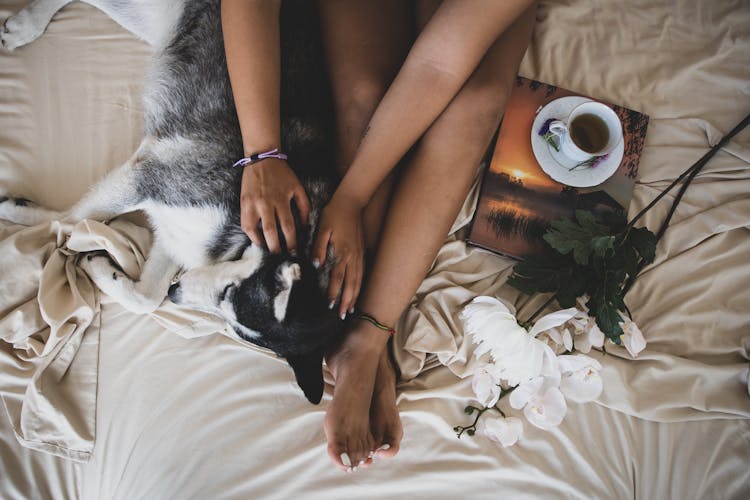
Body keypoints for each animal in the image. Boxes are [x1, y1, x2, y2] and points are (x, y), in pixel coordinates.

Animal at [1, 0, 344, 404]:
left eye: (237, 330)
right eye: (228, 294)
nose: (176, 293)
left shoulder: (176, 238)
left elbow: (145, 297)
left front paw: (104, 271)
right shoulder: (151, 175)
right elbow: (69, 222)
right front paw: (21, 215)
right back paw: (29, 24)